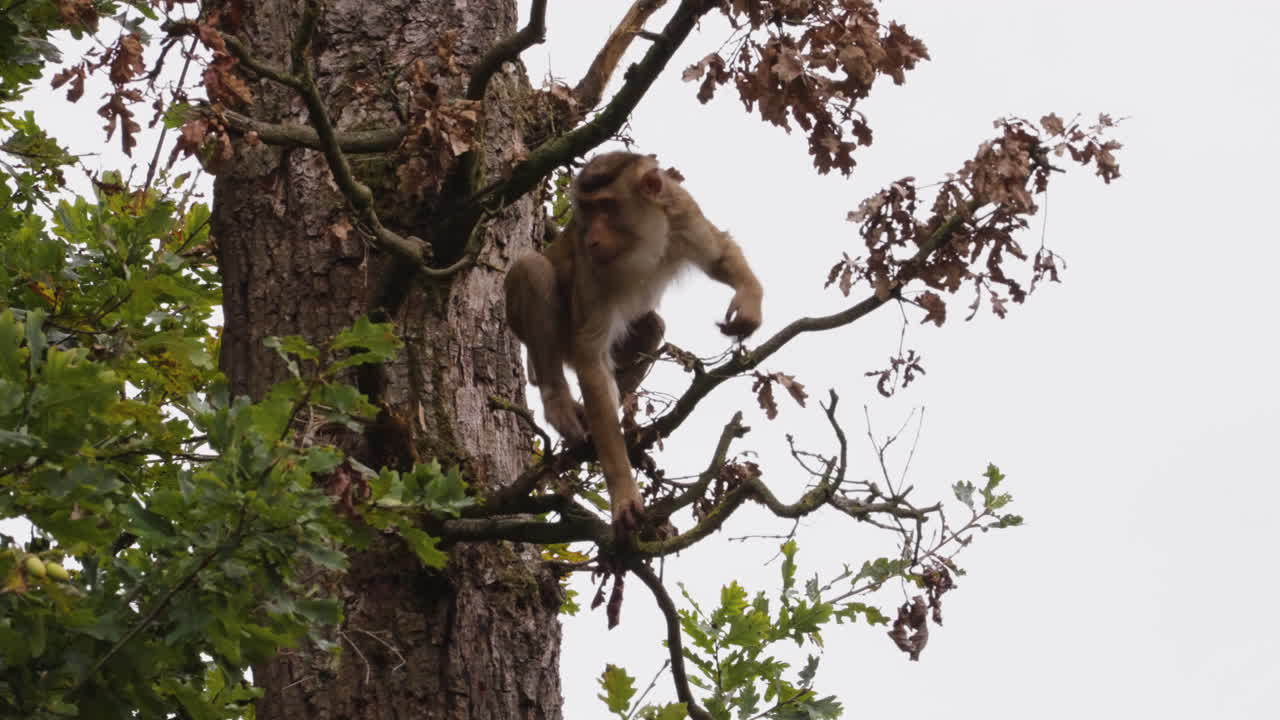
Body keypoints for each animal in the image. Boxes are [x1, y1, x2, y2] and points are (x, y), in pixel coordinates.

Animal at [504, 152, 764, 534]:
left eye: (606, 206)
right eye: (587, 211)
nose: (593, 236)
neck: (642, 236)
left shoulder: (679, 206)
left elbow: (719, 254)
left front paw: (749, 302)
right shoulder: (590, 264)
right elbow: (590, 356)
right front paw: (623, 492)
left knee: (651, 326)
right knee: (532, 268)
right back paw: (559, 402)